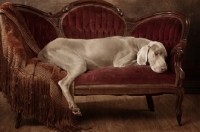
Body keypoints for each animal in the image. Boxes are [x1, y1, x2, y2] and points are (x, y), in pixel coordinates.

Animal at [37, 36, 167, 115]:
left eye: (165, 57)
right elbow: (142, 64)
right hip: (78, 62)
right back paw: (73, 106)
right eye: (156, 53)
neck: (136, 43)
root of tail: (44, 49)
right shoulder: (120, 63)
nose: (165, 69)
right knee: (63, 82)